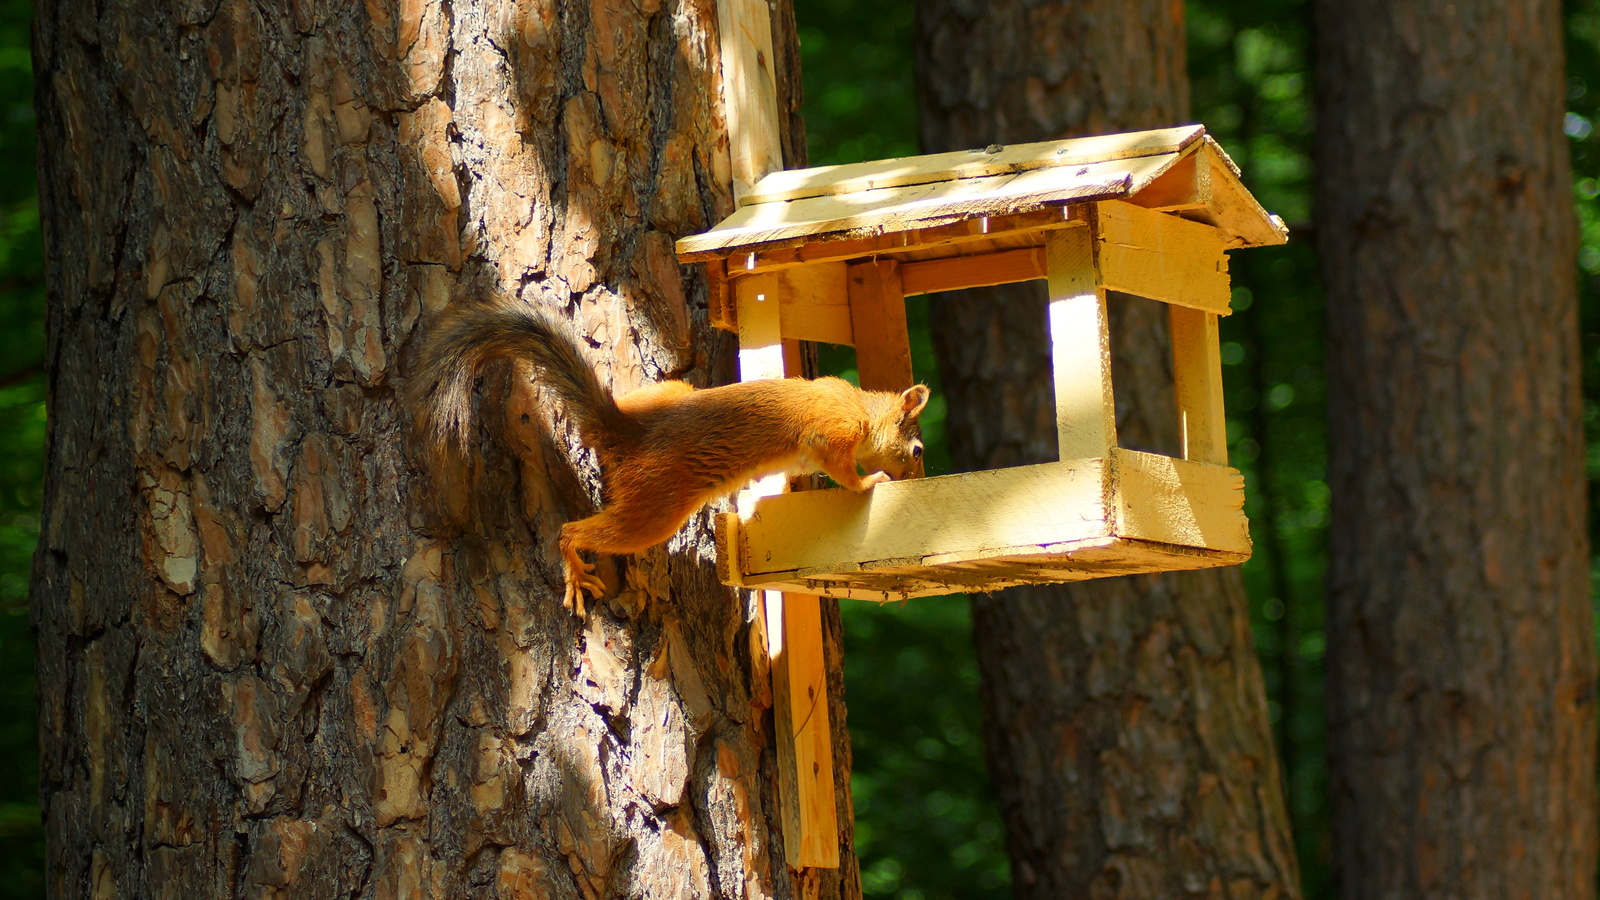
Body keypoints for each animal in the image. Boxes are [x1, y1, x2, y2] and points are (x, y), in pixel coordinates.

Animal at [406, 301, 934, 614]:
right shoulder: (831, 430)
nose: (916, 473)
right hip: (655, 508)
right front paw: (869, 483)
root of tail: (625, 436)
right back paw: (574, 568)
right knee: (577, 531)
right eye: (917, 450)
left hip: (669, 398)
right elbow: (840, 466)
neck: (862, 409)